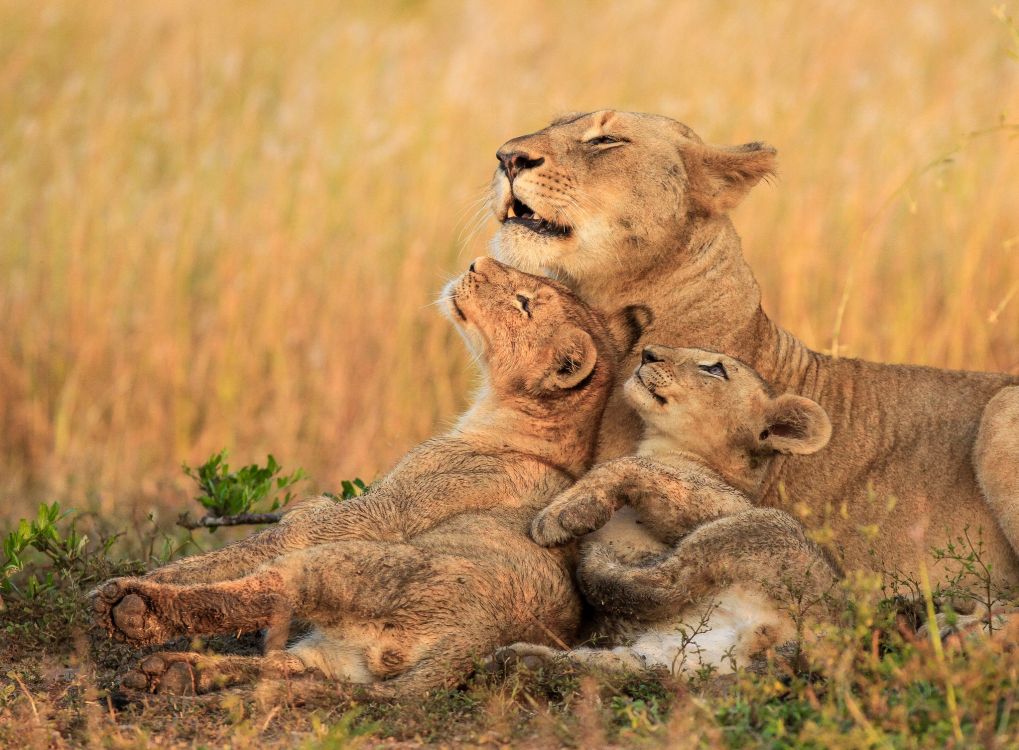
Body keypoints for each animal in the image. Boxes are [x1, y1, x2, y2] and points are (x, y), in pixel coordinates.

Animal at [90, 256, 618, 698]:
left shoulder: (381, 511)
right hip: (337, 659)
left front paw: (146, 577)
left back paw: (133, 609)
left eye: (524, 303)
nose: (477, 262)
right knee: (284, 670)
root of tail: (474, 641)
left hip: (342, 566)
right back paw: (172, 674)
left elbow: (255, 544)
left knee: (263, 591)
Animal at [491, 345, 841, 676]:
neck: (665, 446)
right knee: (620, 667)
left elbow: (630, 465)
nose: (648, 353)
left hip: (762, 526)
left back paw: (596, 561)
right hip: (672, 656)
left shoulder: (724, 502)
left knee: (667, 583)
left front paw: (561, 515)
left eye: (715, 369)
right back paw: (521, 661)